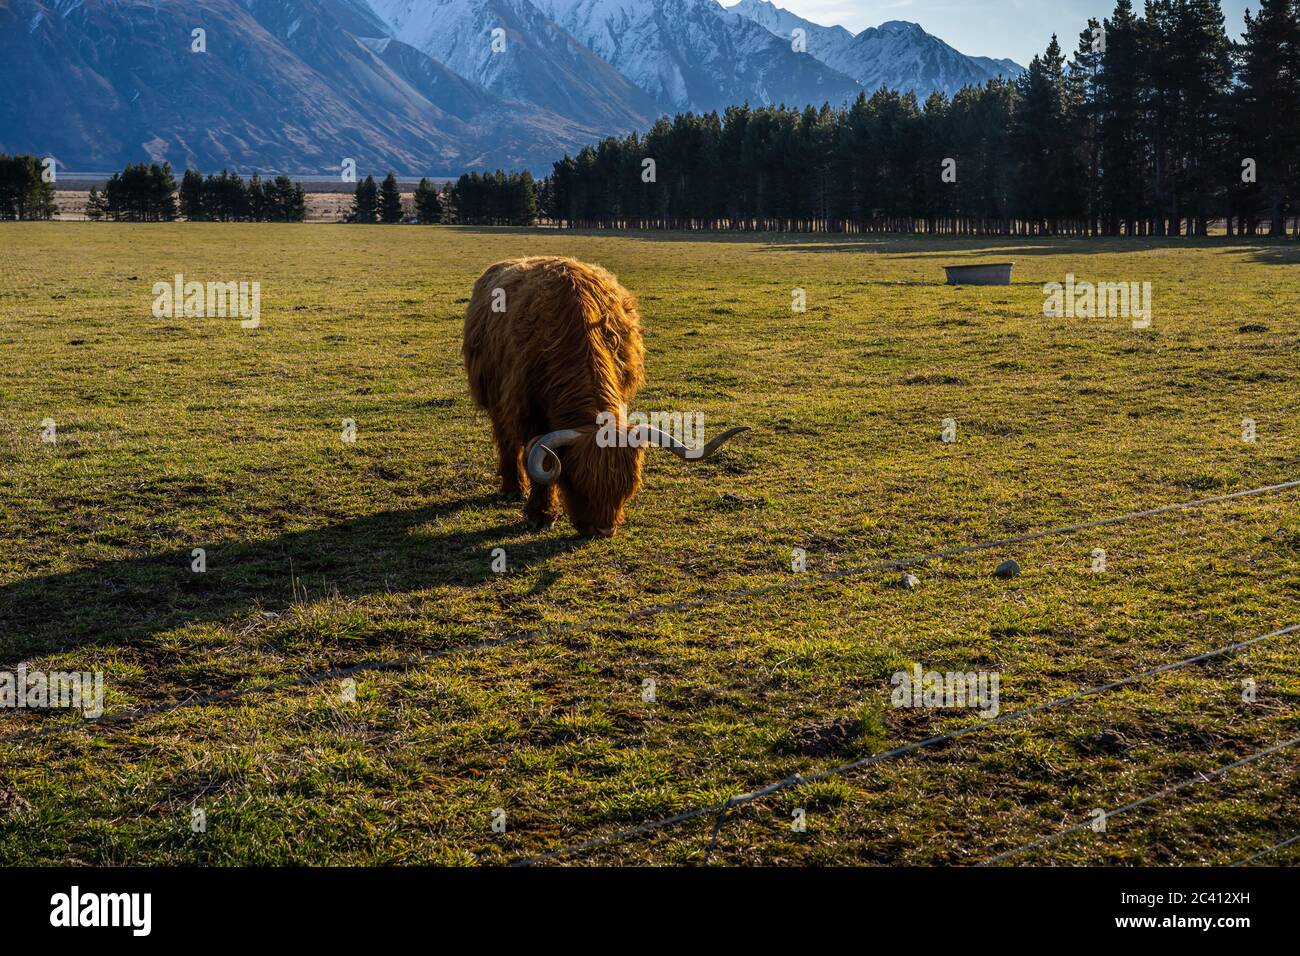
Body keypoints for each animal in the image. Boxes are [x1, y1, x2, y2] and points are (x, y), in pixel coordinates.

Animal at [463, 256, 748, 537]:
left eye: (627, 487)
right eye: (577, 484)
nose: (603, 529)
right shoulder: (526, 407)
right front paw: (540, 515)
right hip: (494, 398)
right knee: (506, 440)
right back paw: (512, 489)